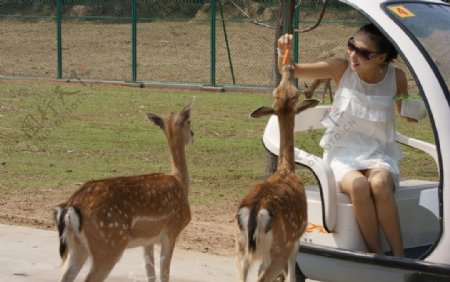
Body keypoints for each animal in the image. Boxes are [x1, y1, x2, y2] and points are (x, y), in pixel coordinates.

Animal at [53, 101, 193, 282]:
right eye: (189, 121)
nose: (193, 134)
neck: (180, 182)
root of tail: (70, 207)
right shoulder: (172, 230)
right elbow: (164, 274)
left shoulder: (148, 239)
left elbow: (151, 274)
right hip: (109, 245)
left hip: (77, 247)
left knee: (65, 276)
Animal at [236, 64, 320, 282]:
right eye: (295, 93)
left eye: (282, 92)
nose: (288, 67)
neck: (286, 169)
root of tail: (254, 212)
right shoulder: (296, 240)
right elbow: (291, 276)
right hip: (279, 248)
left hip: (240, 249)